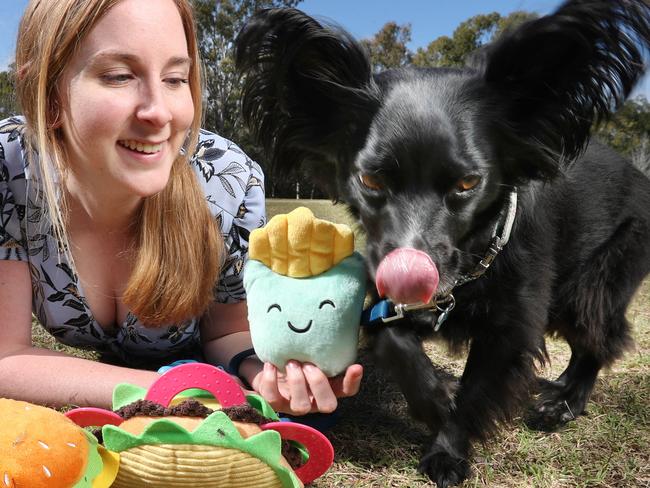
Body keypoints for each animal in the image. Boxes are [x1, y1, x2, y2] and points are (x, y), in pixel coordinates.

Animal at [235, 1, 648, 486]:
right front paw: (437, 399)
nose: (411, 276)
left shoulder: (510, 328)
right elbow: (395, 343)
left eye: (468, 183)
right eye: (370, 180)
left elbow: (475, 392)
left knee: (599, 338)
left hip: (592, 283)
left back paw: (565, 402)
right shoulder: (387, 299)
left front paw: (448, 450)